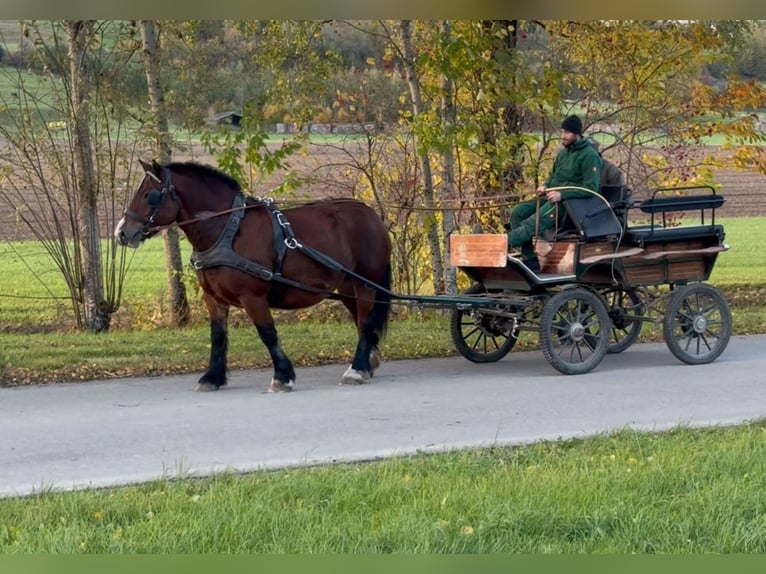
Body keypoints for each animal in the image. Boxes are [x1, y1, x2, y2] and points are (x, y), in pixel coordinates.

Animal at [114, 159, 392, 393]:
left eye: (149, 196)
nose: (121, 233)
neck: (226, 230)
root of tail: (370, 213)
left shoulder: (253, 296)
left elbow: (267, 333)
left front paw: (282, 377)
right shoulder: (213, 298)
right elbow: (218, 336)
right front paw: (212, 378)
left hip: (365, 282)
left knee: (365, 320)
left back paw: (357, 369)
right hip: (346, 285)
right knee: (360, 321)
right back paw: (367, 363)